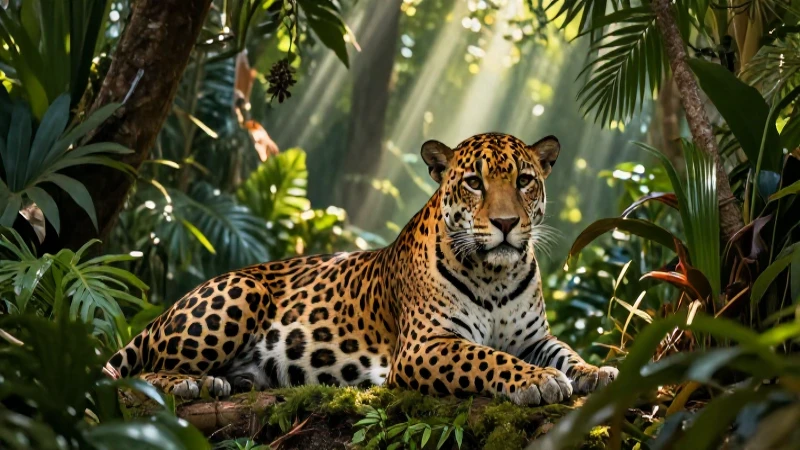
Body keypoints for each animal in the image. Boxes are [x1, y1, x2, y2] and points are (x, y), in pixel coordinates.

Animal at [106, 132, 618, 405]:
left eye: (525, 180)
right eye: (474, 182)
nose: (508, 223)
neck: (496, 275)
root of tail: (165, 311)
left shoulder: (533, 338)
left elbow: (564, 351)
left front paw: (594, 371)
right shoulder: (424, 346)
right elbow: (487, 357)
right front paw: (537, 380)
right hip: (239, 293)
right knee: (142, 374)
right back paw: (194, 382)